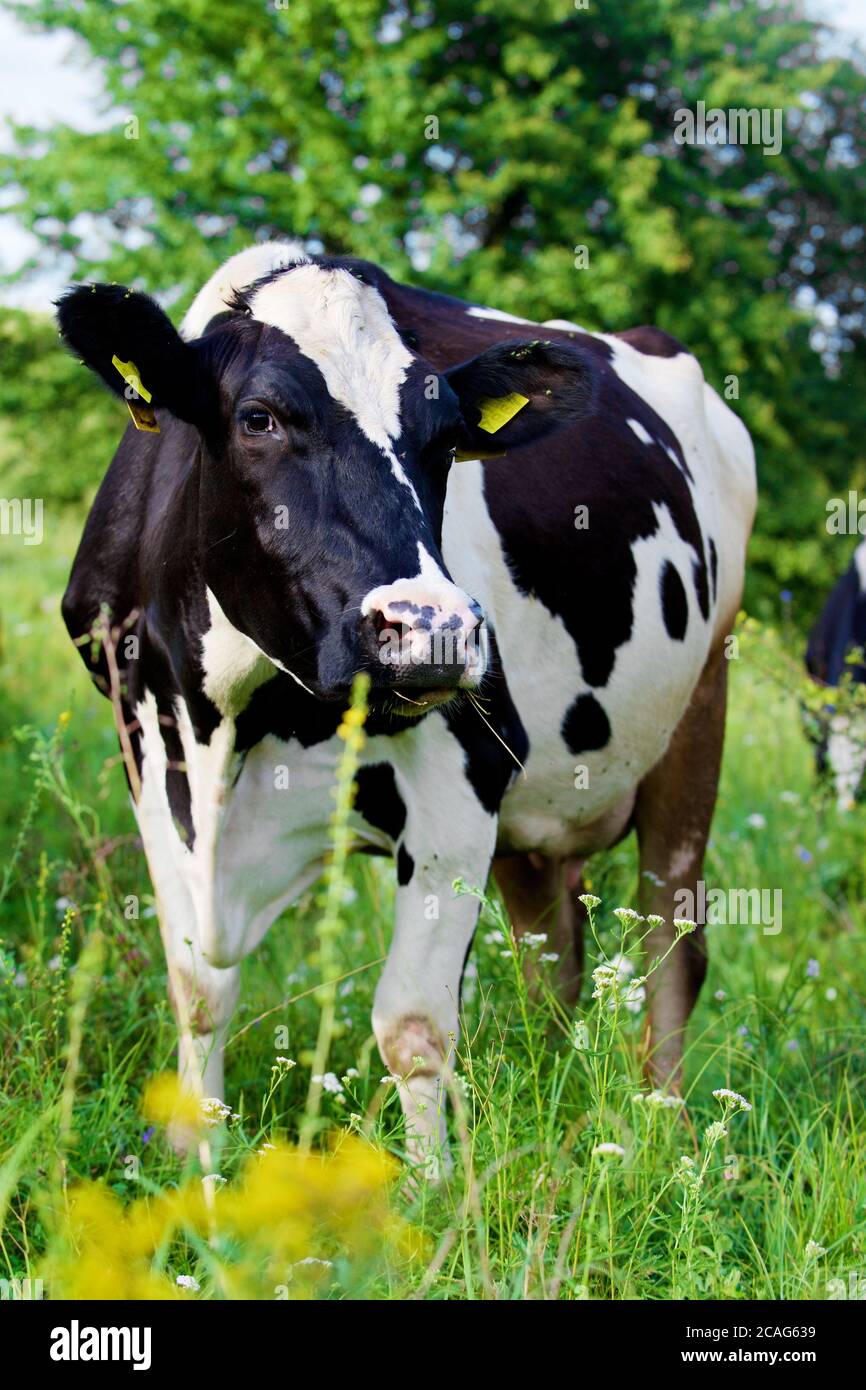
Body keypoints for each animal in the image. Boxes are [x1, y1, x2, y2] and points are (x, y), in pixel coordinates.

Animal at [57, 241, 756, 1174]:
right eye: (258, 417)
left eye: (449, 440)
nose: (434, 630)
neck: (234, 716)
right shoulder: (151, 746)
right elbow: (199, 992)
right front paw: (195, 1176)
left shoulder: (464, 771)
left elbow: (414, 1026)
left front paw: (428, 1199)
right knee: (553, 955)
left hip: (701, 704)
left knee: (671, 944)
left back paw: (670, 1138)